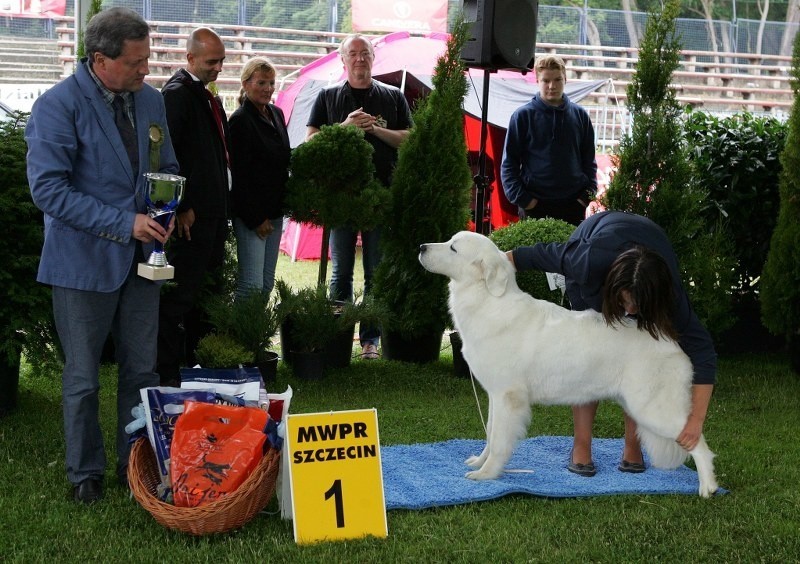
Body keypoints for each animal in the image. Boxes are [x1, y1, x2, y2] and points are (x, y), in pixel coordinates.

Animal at [418, 231, 720, 496]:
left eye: (453, 248)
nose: (421, 247)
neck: (488, 301)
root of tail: (673, 344)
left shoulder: (508, 397)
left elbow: (499, 441)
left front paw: (487, 474)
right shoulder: (495, 396)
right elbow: (491, 435)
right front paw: (480, 462)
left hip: (652, 408)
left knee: (698, 442)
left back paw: (708, 488)